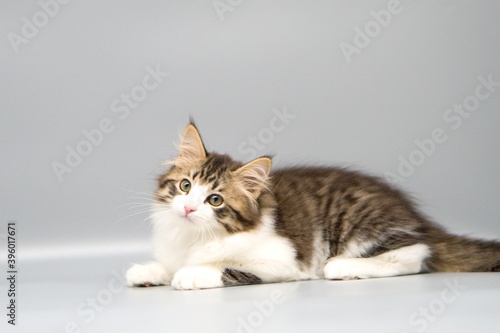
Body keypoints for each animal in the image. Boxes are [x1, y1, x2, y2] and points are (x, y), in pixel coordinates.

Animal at [126, 121, 500, 288]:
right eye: (185, 186)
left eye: (214, 200)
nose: (189, 209)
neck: (191, 237)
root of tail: (414, 215)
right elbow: (166, 265)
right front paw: (147, 271)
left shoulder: (281, 260)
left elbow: (225, 267)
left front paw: (190, 274)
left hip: (359, 224)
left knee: (415, 255)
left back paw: (343, 267)